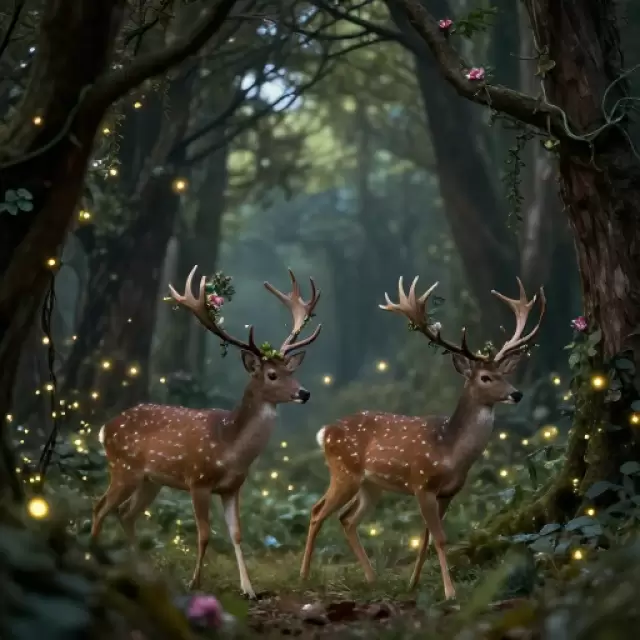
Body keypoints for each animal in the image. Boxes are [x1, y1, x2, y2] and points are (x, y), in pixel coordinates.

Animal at [91, 265, 322, 599]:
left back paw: (141, 569)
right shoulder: (197, 480)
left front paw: (249, 589)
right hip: (123, 468)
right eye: (272, 374)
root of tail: (105, 428)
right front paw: (194, 584)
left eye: (292, 371)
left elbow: (236, 535)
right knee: (100, 508)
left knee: (125, 513)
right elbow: (203, 534)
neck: (229, 449)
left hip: (150, 481)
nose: (304, 393)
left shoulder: (232, 488)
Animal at [300, 276, 545, 600]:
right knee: (318, 511)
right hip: (344, 471)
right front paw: (450, 592)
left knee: (347, 519)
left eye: (504, 374)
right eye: (485, 378)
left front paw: (413, 583)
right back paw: (303, 575)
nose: (517, 394)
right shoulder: (421, 483)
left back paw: (372, 578)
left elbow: (428, 537)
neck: (451, 452)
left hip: (371, 485)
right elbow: (439, 538)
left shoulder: (448, 493)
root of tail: (325, 432)